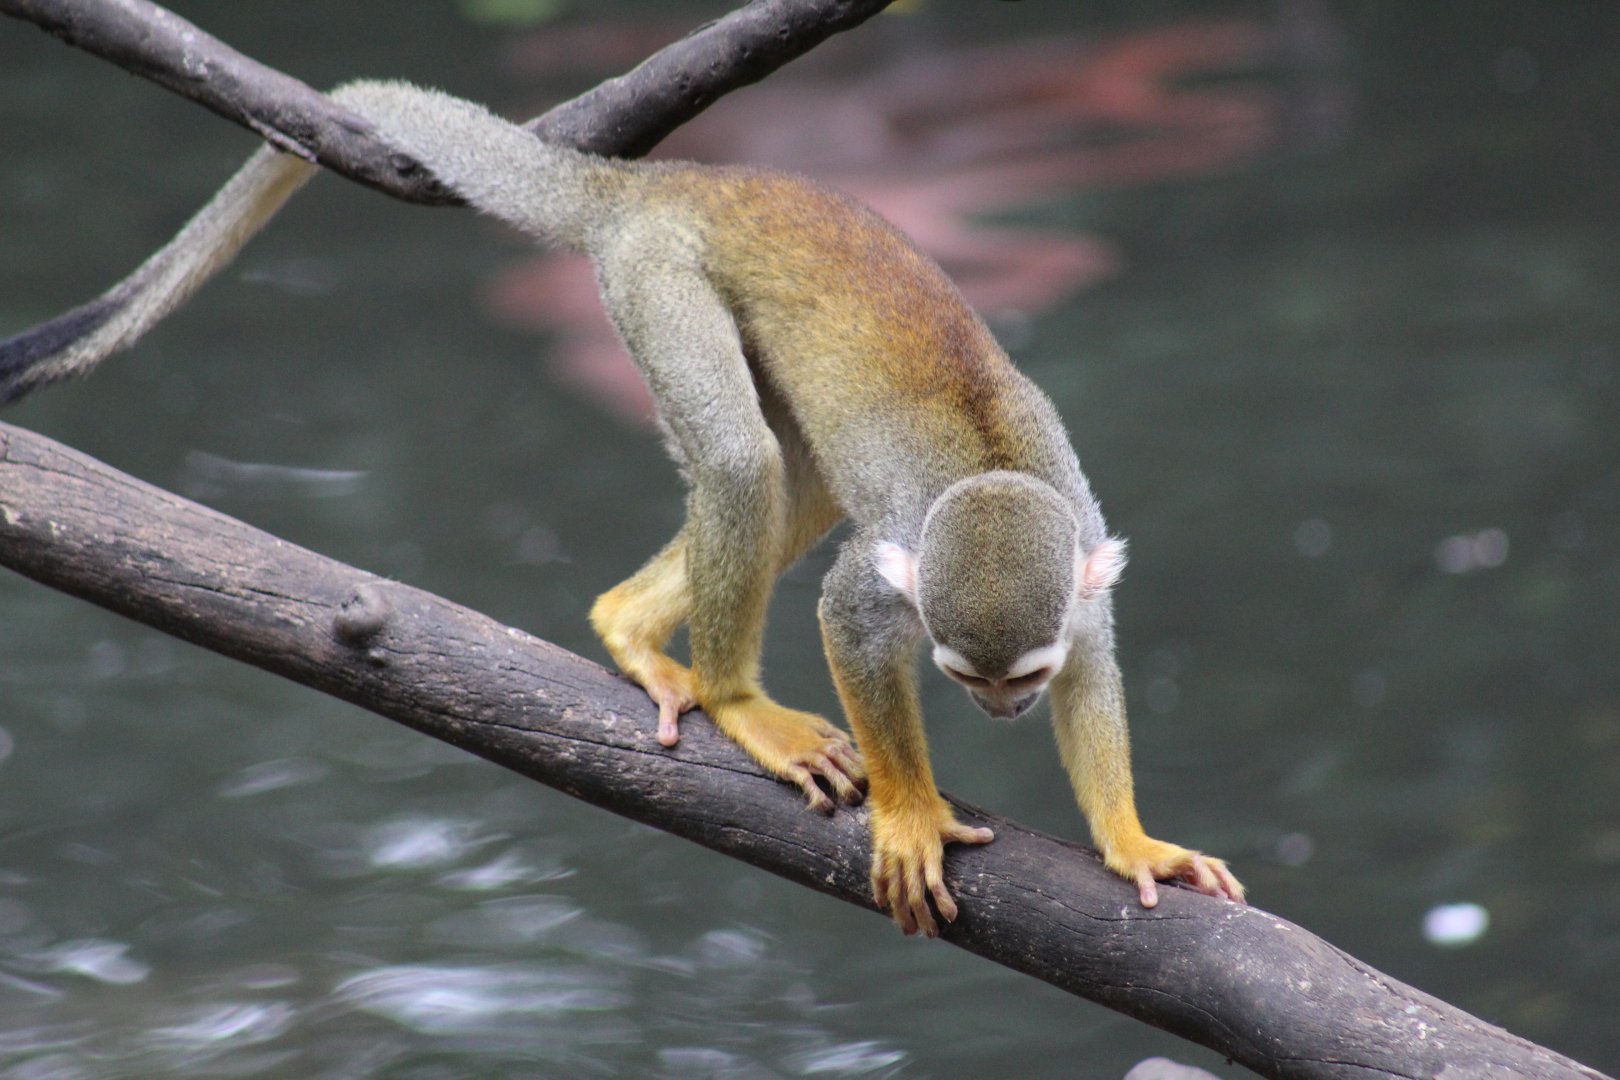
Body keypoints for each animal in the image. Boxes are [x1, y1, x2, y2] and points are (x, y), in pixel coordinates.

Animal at [0, 81, 1244, 935]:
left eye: (1022, 677)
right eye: (966, 678)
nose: (999, 713)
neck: (990, 468)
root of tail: (659, 180)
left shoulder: (1082, 556)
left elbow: (1095, 661)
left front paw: (1130, 842)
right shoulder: (902, 569)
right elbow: (850, 612)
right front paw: (909, 811)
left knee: (785, 481)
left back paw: (633, 623)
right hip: (655, 277)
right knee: (743, 463)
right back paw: (735, 696)